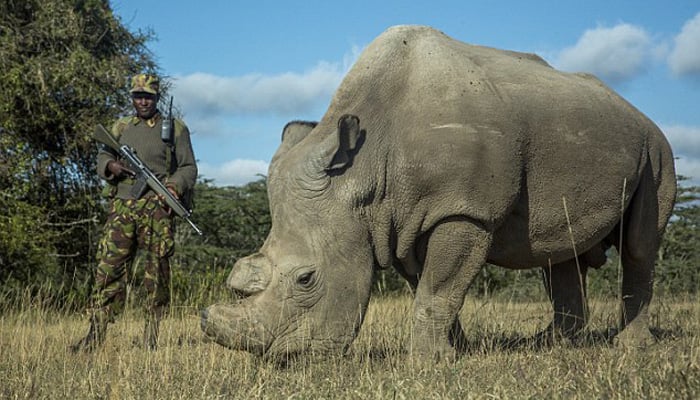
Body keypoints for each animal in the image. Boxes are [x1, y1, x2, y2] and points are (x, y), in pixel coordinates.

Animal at [201, 25, 680, 358]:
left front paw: (427, 361)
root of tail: (633, 108)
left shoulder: (463, 210)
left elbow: (440, 287)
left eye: (306, 278)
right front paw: (455, 353)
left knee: (639, 246)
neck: (365, 172)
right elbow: (431, 288)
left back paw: (629, 348)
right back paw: (550, 345)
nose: (280, 358)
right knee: (559, 251)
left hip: (656, 149)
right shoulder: (401, 222)